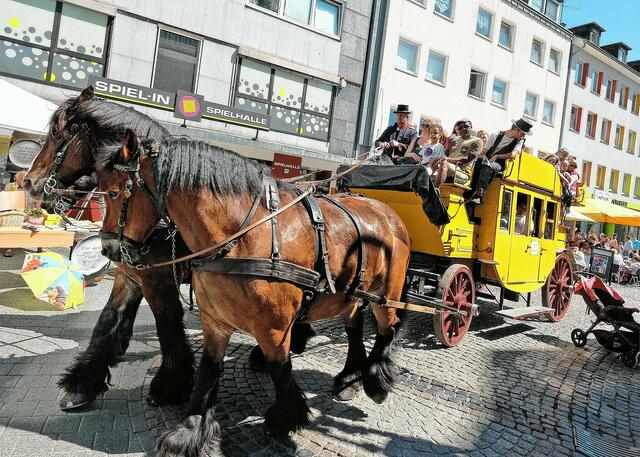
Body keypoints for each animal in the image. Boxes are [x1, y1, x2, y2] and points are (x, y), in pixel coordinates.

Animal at [23, 87, 195, 408]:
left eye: (56, 132)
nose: (28, 182)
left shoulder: (158, 279)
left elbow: (168, 327)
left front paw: (170, 387)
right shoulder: (130, 274)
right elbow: (107, 320)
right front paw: (83, 382)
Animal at [97, 130, 412, 454]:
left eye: (113, 193)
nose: (108, 250)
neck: (243, 236)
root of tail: (387, 213)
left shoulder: (274, 330)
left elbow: (280, 369)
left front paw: (285, 417)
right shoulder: (215, 323)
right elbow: (208, 371)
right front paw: (191, 429)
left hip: (386, 293)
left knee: (388, 328)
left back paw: (376, 380)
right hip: (351, 294)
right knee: (354, 326)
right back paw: (351, 378)